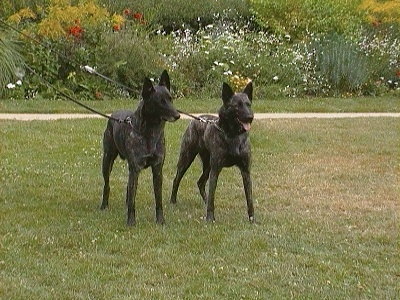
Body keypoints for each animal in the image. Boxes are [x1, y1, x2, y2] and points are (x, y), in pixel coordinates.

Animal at [101, 70, 180, 225]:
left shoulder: (157, 170)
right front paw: (131, 222)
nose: (177, 115)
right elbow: (133, 200)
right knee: (107, 185)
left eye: (170, 98)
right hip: (107, 160)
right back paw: (104, 206)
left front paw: (160, 220)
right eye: (160, 102)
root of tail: (114, 115)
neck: (149, 133)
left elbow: (158, 200)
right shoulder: (135, 168)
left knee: (128, 187)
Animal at [170, 81, 255, 221]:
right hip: (187, 158)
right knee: (177, 179)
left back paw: (204, 202)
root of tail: (196, 119)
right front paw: (210, 218)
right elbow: (212, 196)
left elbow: (250, 199)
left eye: (248, 104)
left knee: (200, 183)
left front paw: (252, 219)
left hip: (208, 165)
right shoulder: (216, 169)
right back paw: (172, 201)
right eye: (236, 106)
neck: (232, 135)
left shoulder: (245, 171)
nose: (250, 117)